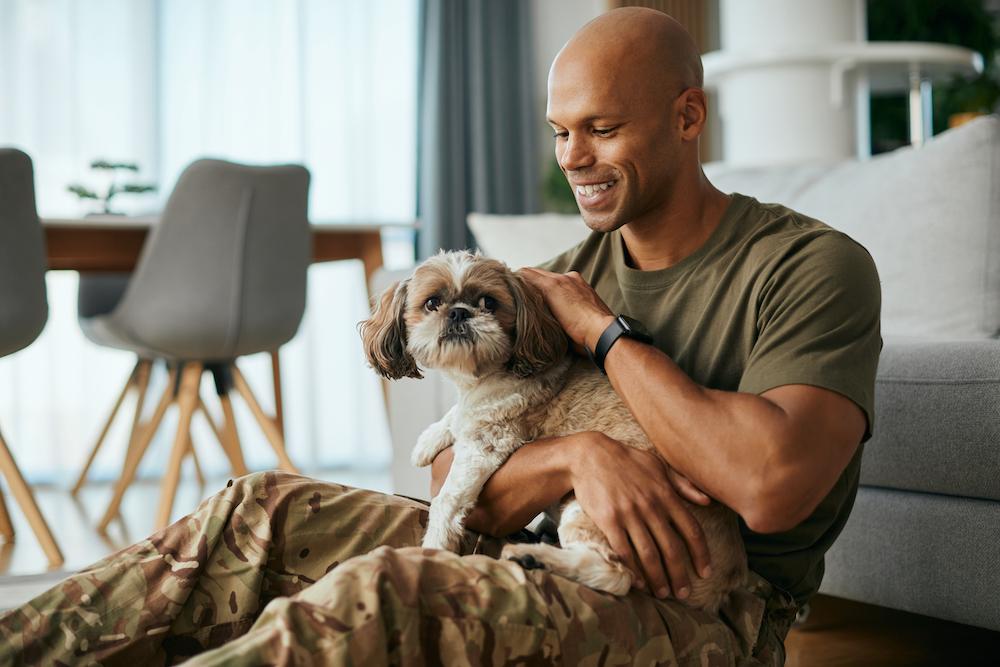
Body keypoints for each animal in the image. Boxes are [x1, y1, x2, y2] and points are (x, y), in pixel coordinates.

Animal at [358, 253, 744, 612]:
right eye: (432, 303)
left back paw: (538, 558)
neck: (485, 376)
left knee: (615, 575)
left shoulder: (488, 442)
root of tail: (725, 581)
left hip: (597, 511)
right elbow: (458, 415)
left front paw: (434, 548)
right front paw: (429, 439)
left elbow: (448, 499)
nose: (458, 313)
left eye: (488, 303)